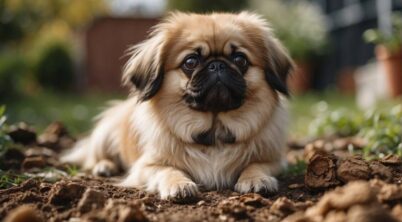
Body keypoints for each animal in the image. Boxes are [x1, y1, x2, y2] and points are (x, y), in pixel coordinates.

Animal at [62, 11, 296, 200]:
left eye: (240, 59)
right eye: (190, 62)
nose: (217, 65)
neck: (214, 130)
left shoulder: (274, 160)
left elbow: (256, 165)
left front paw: (256, 179)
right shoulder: (147, 166)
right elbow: (168, 170)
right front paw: (179, 185)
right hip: (105, 134)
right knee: (95, 157)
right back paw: (105, 166)